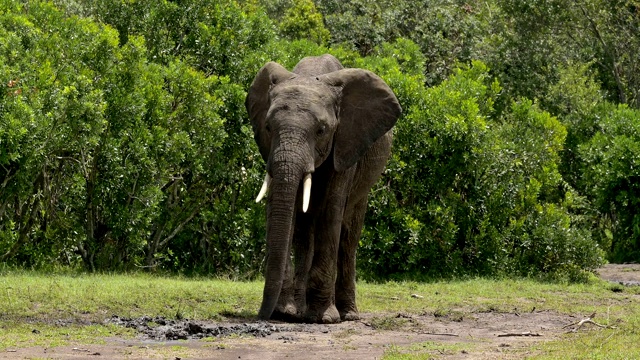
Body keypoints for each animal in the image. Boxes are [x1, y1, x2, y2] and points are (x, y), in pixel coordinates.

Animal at [245, 53, 400, 324]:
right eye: (267, 127)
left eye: (321, 131)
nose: (263, 316)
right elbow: (283, 209)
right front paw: (285, 312)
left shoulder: (346, 142)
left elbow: (331, 210)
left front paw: (323, 317)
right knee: (304, 231)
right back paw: (299, 310)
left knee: (348, 235)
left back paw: (347, 314)